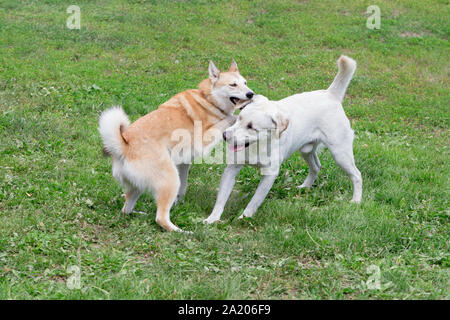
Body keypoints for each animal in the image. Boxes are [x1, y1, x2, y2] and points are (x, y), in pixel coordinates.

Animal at [99, 60, 253, 231]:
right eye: (233, 84)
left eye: (245, 83)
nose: (251, 94)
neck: (208, 99)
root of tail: (124, 146)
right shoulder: (204, 141)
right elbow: (230, 118)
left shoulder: (184, 163)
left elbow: (183, 187)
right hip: (170, 180)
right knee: (160, 218)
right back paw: (181, 231)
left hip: (139, 186)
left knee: (126, 209)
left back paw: (140, 213)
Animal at [204, 55, 362, 224]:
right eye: (239, 118)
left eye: (251, 127)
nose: (225, 135)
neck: (257, 146)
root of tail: (330, 94)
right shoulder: (231, 169)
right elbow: (221, 198)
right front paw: (213, 218)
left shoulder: (270, 175)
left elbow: (254, 201)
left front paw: (244, 217)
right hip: (306, 151)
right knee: (316, 167)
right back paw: (304, 187)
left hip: (340, 153)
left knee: (356, 175)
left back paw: (356, 200)